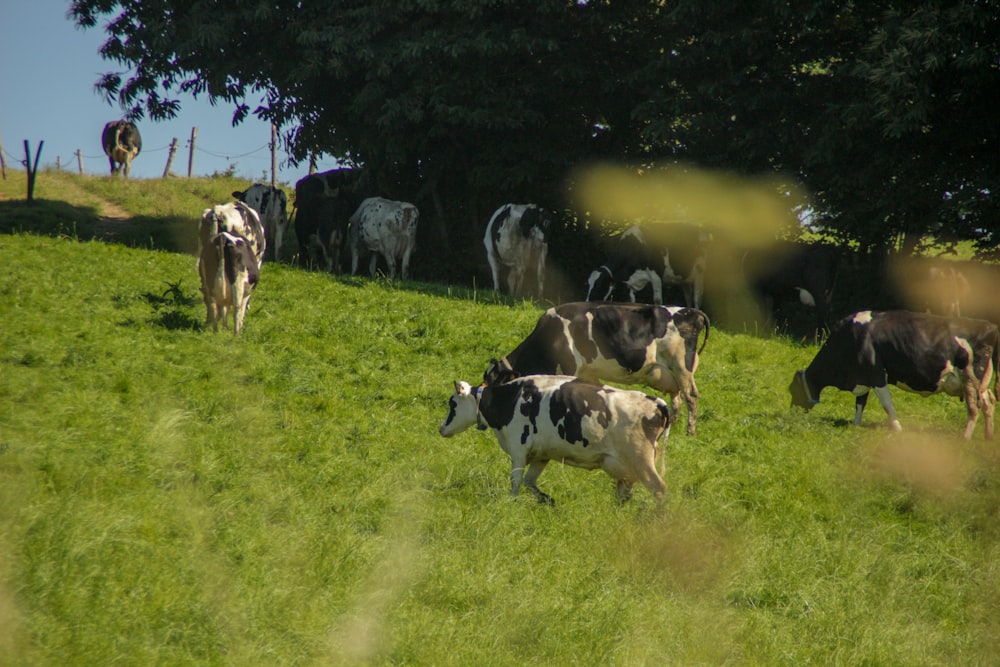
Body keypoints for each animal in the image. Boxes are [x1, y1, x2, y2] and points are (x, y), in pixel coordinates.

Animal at [438, 374, 672, 504]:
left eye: (452, 404)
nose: (441, 428)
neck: (510, 399)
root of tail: (657, 402)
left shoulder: (518, 447)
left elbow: (516, 480)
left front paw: (510, 502)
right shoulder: (542, 454)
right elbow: (530, 481)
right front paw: (546, 499)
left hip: (641, 460)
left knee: (660, 488)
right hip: (625, 466)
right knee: (625, 493)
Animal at [492, 302, 712, 438]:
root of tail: (692, 312)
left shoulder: (569, 368)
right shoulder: (589, 373)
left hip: (682, 367)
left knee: (691, 397)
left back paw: (690, 433)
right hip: (673, 374)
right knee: (678, 401)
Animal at [584, 223, 712, 310]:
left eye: (599, 285)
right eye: (588, 284)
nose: (586, 302)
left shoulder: (656, 276)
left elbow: (657, 301)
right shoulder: (631, 282)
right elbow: (632, 301)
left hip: (700, 272)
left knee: (697, 298)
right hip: (684, 278)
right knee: (688, 297)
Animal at [788, 312, 1000, 440]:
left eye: (792, 390)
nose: (792, 412)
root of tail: (990, 326)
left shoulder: (876, 374)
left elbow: (887, 404)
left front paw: (897, 429)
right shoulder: (863, 376)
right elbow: (860, 402)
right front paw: (856, 425)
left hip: (970, 377)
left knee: (974, 408)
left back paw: (965, 438)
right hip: (982, 381)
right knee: (989, 402)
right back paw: (988, 437)